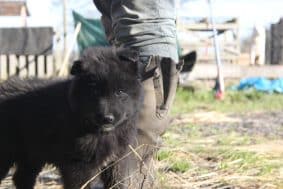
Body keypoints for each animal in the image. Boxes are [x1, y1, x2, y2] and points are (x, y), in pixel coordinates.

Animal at [0, 47, 143, 189]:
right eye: (94, 92)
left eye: (120, 92)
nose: (107, 118)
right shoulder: (77, 164)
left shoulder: (117, 159)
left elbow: (118, 182)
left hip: (32, 153)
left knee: (22, 177)